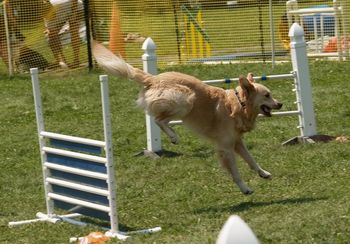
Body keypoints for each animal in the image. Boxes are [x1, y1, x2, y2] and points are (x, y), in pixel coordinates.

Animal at [91, 41, 284, 194]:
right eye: (267, 95)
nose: (280, 104)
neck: (238, 105)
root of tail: (153, 78)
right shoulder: (225, 147)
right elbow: (235, 172)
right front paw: (244, 188)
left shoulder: (237, 142)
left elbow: (251, 160)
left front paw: (263, 173)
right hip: (186, 99)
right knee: (158, 119)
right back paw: (174, 136)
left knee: (161, 119)